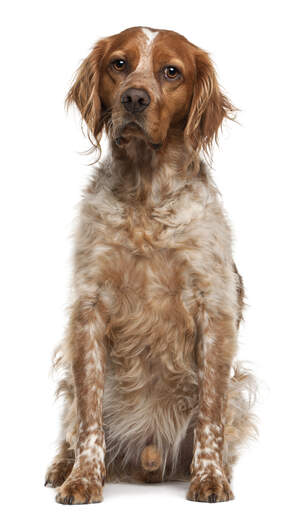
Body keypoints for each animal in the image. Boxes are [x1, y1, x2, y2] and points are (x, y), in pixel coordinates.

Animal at [44, 27, 256, 504]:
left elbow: (210, 415)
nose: (135, 99)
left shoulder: (213, 310)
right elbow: (89, 418)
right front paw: (82, 479)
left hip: (240, 388)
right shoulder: (88, 310)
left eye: (171, 71)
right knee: (72, 425)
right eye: (119, 64)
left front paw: (210, 478)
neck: (145, 197)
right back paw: (62, 467)